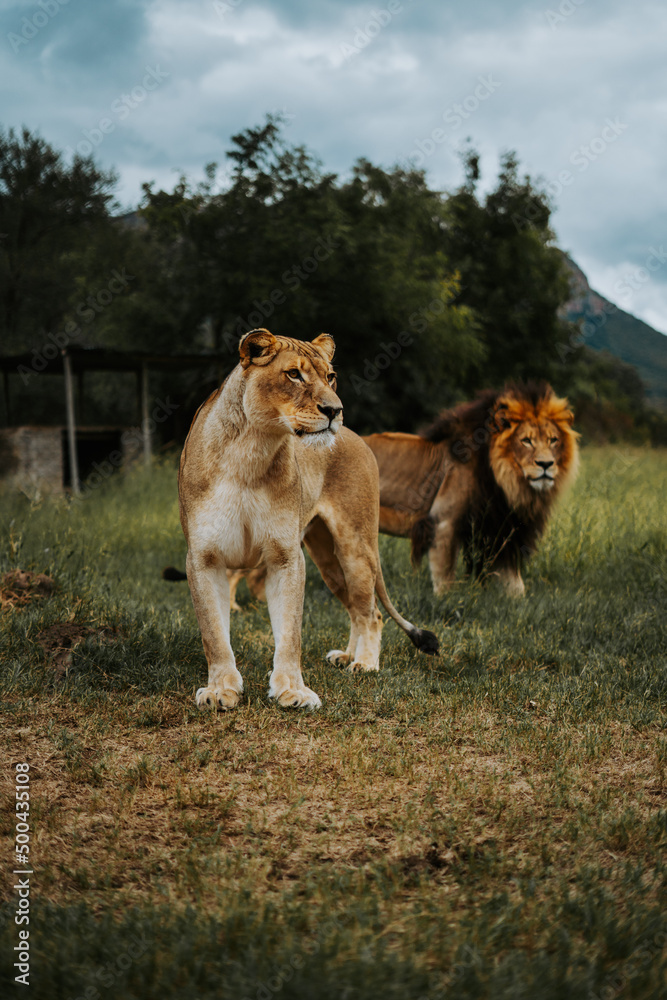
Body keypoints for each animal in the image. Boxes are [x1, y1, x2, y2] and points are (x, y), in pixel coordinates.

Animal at [178, 328, 439, 711]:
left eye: (330, 377)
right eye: (293, 375)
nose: (335, 410)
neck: (250, 450)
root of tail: (356, 436)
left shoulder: (286, 556)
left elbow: (290, 633)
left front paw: (292, 692)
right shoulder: (203, 557)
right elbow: (214, 633)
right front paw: (221, 690)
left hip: (355, 547)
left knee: (371, 612)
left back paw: (365, 664)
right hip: (327, 560)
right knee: (355, 608)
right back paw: (346, 656)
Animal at [364, 382, 579, 597]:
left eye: (553, 440)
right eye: (526, 440)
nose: (546, 464)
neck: (505, 481)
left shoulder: (500, 531)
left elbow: (516, 587)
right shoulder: (444, 523)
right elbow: (445, 579)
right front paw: (444, 601)